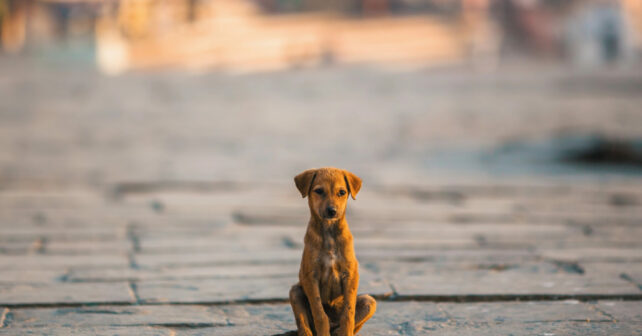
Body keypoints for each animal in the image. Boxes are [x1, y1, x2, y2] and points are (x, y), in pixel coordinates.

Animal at [288, 168, 372, 336]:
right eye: (319, 191)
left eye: (342, 192)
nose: (332, 211)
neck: (329, 231)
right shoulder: (310, 276)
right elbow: (320, 314)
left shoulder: (350, 274)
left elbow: (348, 313)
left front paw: (346, 330)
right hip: (295, 291)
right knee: (304, 324)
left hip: (369, 301)